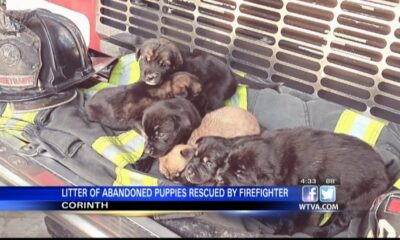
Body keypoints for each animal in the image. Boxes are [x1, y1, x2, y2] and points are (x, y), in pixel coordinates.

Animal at [214, 128, 390, 237]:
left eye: (240, 173)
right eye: (226, 162)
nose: (218, 178)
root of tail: (385, 170)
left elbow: (290, 218)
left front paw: (283, 231)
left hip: (360, 200)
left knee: (341, 220)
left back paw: (322, 232)